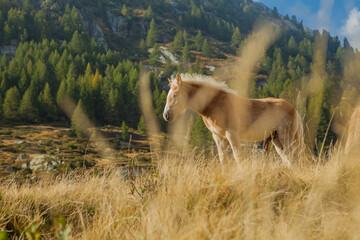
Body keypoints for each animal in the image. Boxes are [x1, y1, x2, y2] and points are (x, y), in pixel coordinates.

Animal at [163, 74, 304, 166]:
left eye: (175, 95)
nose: (166, 115)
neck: (215, 104)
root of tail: (294, 110)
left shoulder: (232, 134)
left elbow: (238, 157)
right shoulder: (218, 137)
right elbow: (223, 159)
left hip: (286, 138)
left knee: (293, 158)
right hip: (277, 140)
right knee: (287, 159)